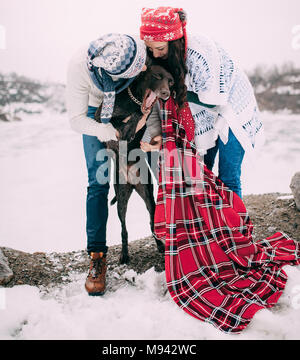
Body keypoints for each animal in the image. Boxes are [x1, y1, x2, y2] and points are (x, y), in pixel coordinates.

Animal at [95, 63, 175, 262]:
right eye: (157, 76)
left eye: (171, 82)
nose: (165, 93)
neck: (135, 101)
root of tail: (131, 182)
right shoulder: (99, 117)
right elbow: (117, 122)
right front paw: (126, 127)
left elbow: (138, 117)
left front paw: (132, 126)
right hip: (121, 200)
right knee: (123, 229)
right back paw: (124, 254)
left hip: (148, 195)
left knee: (152, 221)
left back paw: (160, 246)